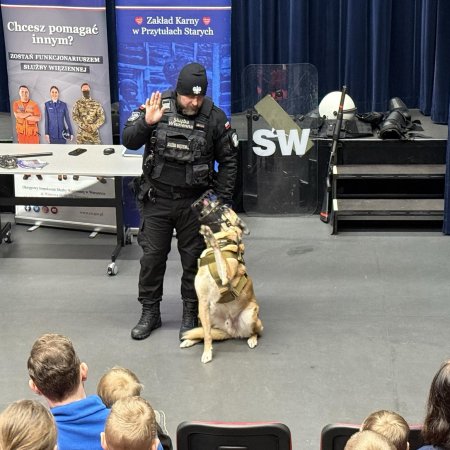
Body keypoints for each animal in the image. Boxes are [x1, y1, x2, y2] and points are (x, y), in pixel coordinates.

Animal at [180, 206, 264, 364]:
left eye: (227, 210)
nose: (223, 206)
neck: (224, 241)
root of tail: (231, 332)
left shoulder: (226, 276)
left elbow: (218, 254)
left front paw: (210, 236)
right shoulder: (203, 302)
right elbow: (207, 334)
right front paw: (207, 351)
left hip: (251, 314)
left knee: (256, 332)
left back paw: (252, 339)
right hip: (204, 314)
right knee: (205, 332)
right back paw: (190, 340)